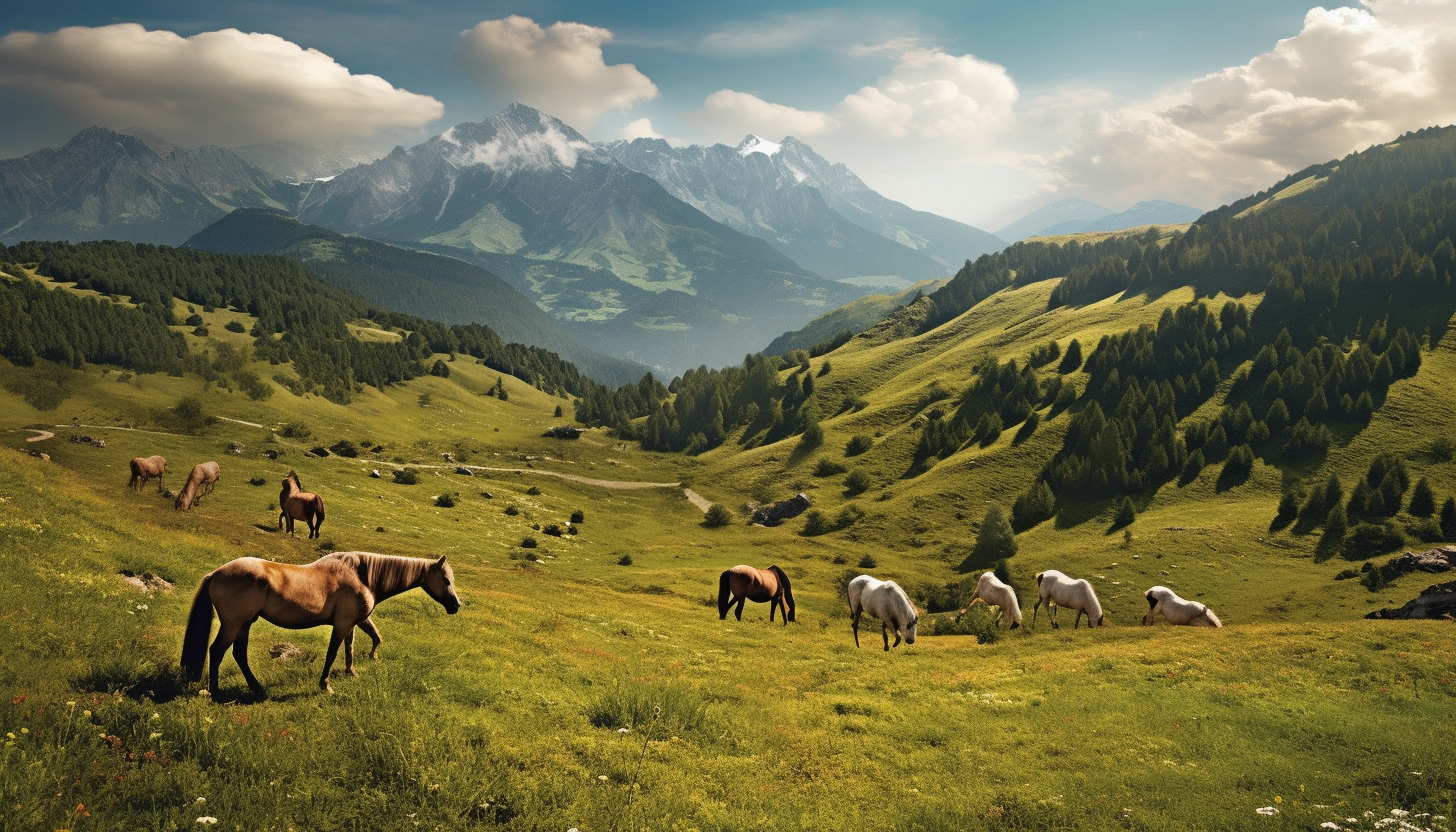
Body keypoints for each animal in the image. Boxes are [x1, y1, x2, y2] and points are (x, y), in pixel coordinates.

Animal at [181, 550, 457, 699]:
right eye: (445, 579)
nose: (456, 605)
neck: (362, 576)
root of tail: (215, 573)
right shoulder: (342, 624)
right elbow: (333, 653)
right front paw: (325, 685)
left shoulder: (351, 624)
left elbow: (350, 649)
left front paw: (351, 672)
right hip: (233, 624)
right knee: (217, 651)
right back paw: (216, 691)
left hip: (245, 624)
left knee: (239, 654)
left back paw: (256, 688)